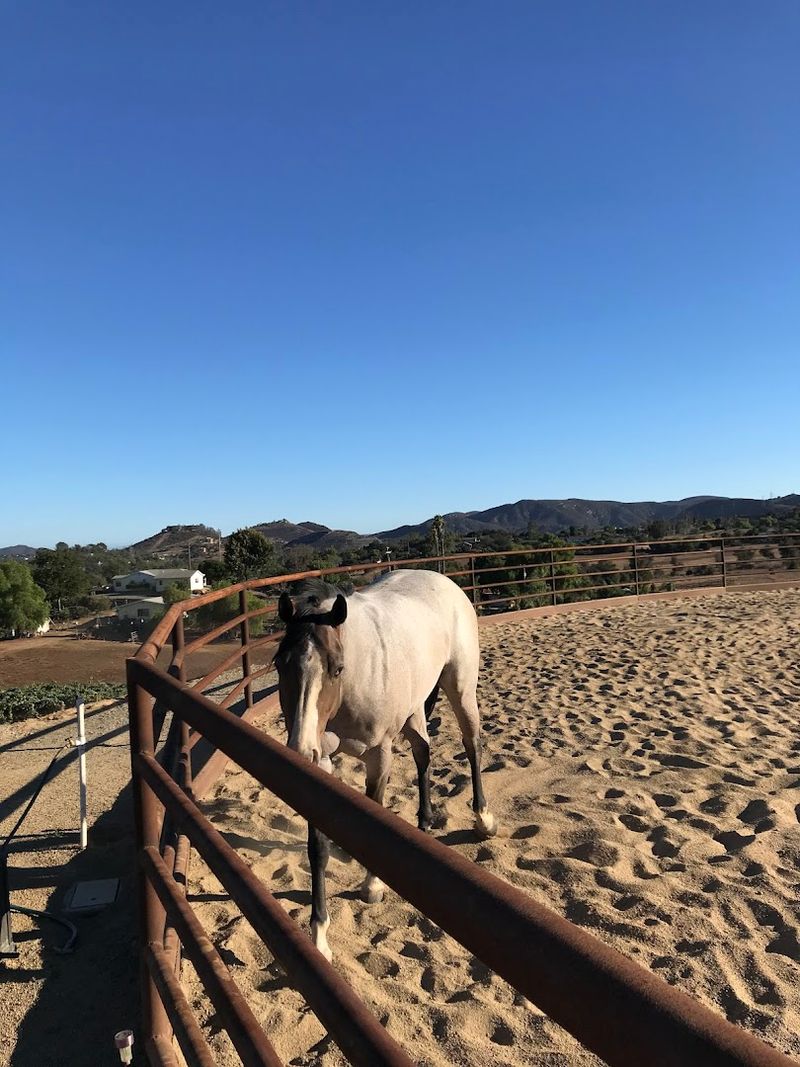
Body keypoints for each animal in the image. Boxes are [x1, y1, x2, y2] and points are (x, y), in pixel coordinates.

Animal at [274, 568, 497, 961]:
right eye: (278, 665)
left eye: (337, 669)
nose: (300, 753)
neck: (357, 673)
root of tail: (442, 579)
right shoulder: (322, 765)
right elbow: (318, 849)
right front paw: (319, 937)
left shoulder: (379, 756)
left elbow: (374, 821)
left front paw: (372, 887)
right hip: (414, 709)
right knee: (424, 752)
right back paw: (425, 822)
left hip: (460, 687)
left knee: (472, 745)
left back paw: (483, 819)